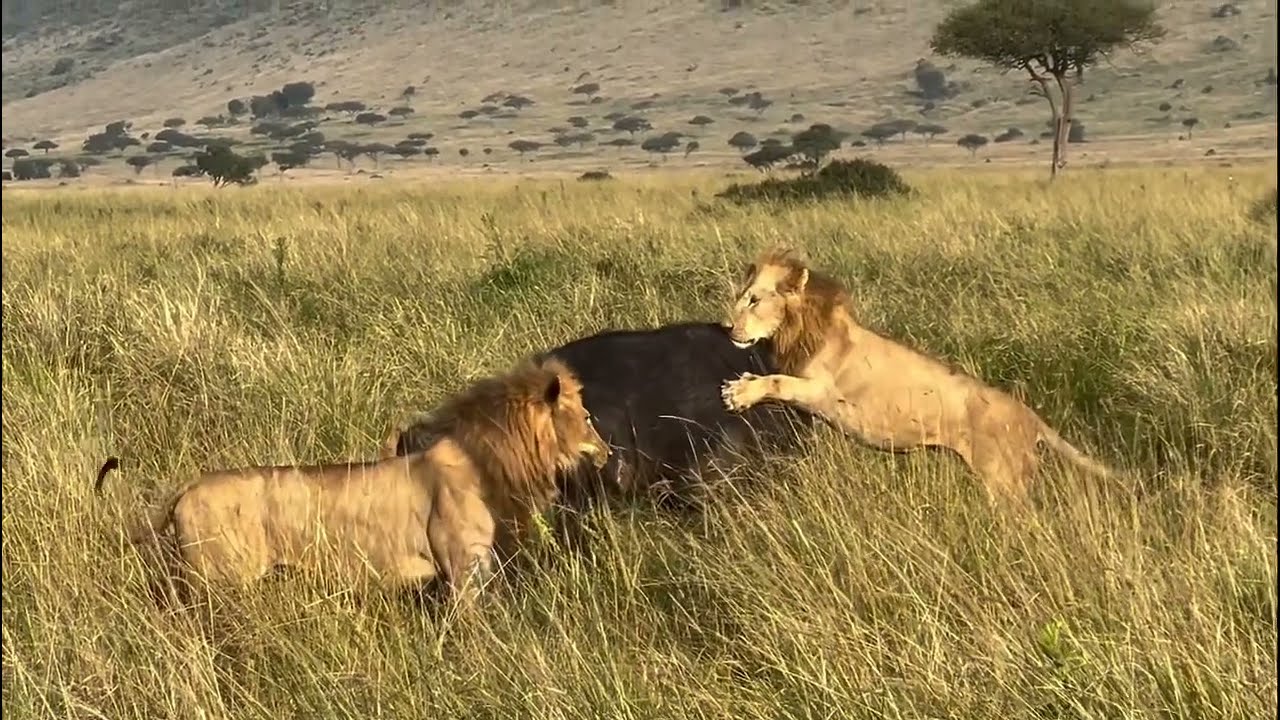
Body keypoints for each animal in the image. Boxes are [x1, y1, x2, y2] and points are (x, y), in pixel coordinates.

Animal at [97, 357, 610, 602]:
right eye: (586, 416)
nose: (608, 452)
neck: (490, 458)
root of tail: (185, 488)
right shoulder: (464, 570)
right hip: (219, 583)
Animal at [719, 246, 1114, 501]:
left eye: (754, 300)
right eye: (741, 297)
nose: (728, 328)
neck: (796, 327)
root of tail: (1031, 417)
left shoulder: (822, 392)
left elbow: (778, 381)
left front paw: (739, 393)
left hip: (1005, 482)